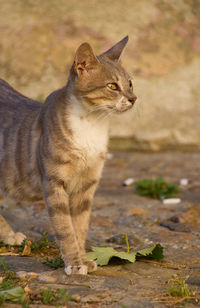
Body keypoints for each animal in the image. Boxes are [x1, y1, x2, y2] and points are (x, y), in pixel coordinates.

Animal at [0, 36, 136, 274]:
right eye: (112, 86)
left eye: (130, 83)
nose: (134, 98)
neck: (91, 126)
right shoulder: (54, 182)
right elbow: (65, 228)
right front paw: (74, 263)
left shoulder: (86, 185)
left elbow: (80, 227)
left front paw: (83, 259)